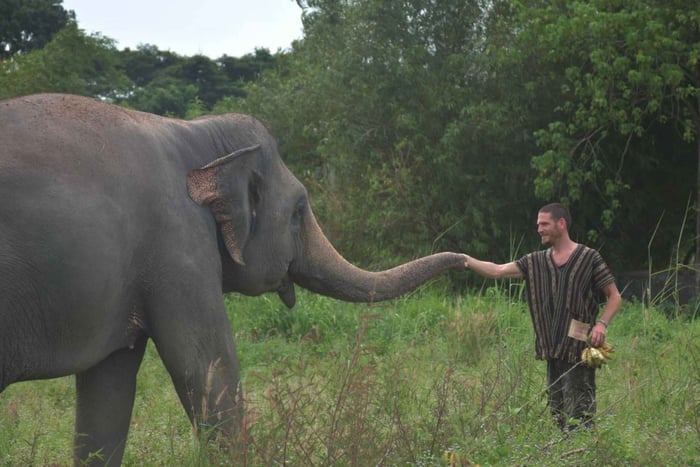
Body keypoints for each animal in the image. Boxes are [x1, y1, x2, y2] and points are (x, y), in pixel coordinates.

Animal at [0, 93, 467, 465]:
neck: (193, 133)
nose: (467, 260)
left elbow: (108, 393)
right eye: (298, 210)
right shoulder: (178, 243)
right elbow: (208, 373)